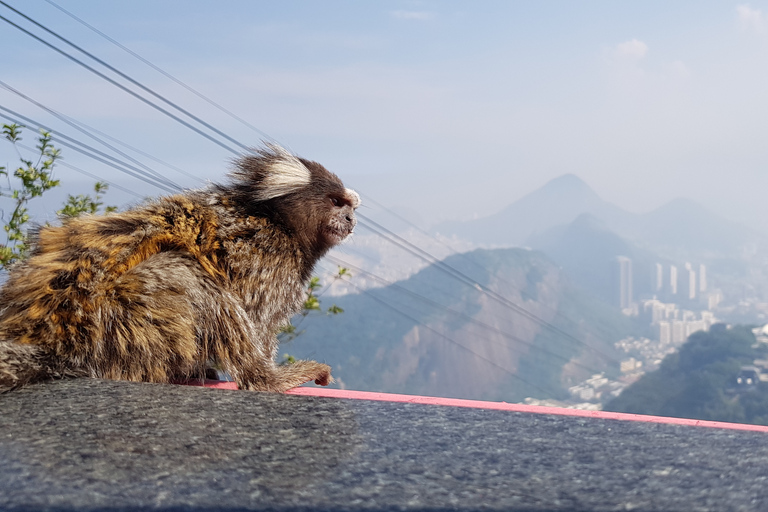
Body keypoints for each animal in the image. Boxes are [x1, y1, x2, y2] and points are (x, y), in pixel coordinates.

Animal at [0, 144, 358, 392]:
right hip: (118, 320)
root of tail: (63, 339)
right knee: (189, 275)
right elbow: (258, 326)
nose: (351, 219)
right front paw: (265, 375)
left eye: (350, 206)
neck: (280, 224)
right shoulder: (268, 262)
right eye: (336, 202)